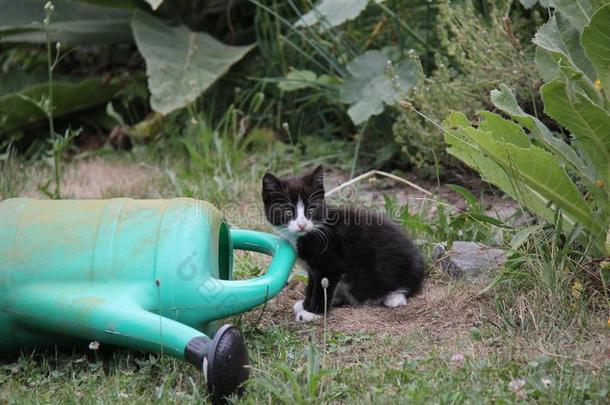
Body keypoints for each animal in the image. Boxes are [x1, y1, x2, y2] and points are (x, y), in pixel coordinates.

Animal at [260, 164, 422, 322]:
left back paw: (394, 297)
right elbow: (312, 285)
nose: (302, 225)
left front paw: (313, 313)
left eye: (311, 209)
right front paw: (305, 305)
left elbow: (321, 288)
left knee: (410, 284)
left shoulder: (332, 264)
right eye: (288, 212)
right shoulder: (313, 270)